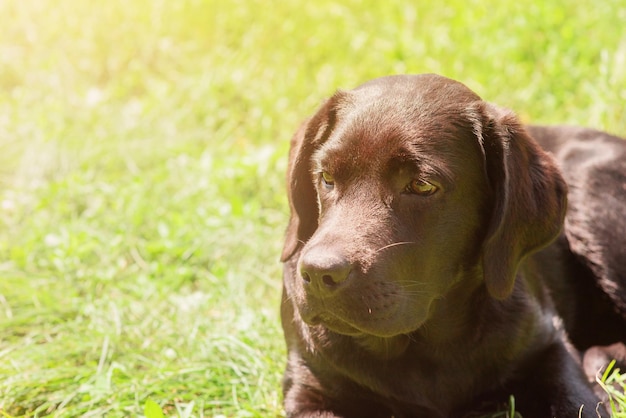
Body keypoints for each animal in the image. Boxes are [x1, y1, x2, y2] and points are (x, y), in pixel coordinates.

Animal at [280, 75, 624, 418]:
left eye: (422, 185)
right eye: (326, 177)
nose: (319, 273)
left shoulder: (548, 345)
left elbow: (577, 404)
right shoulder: (310, 387)